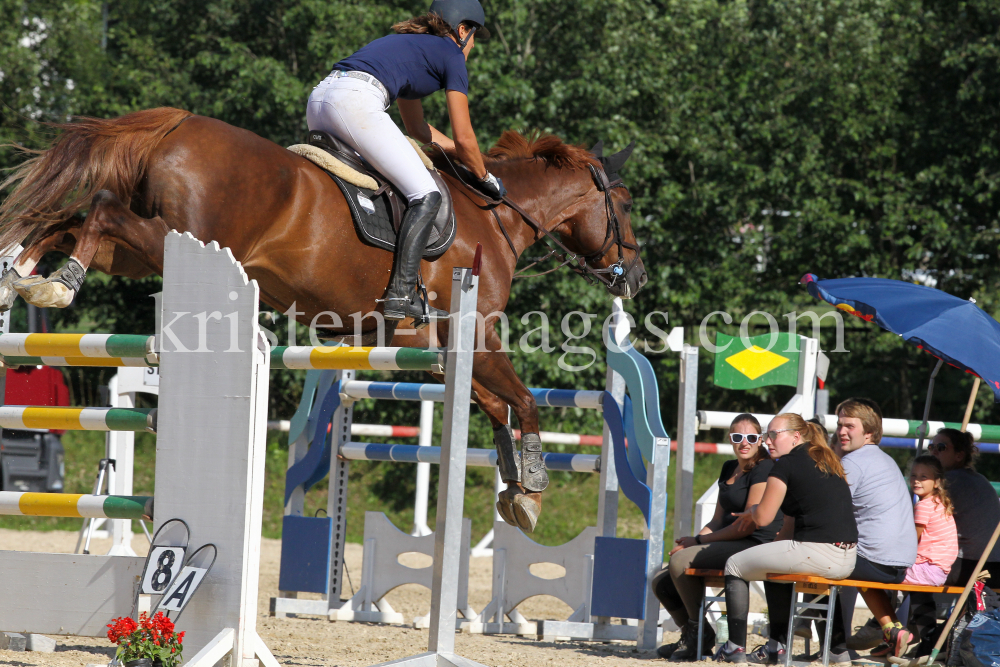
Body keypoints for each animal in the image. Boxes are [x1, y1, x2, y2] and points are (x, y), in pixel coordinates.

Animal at [0, 107, 648, 528]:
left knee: (66, 219)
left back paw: (19, 274)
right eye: (625, 204)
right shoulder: (477, 332)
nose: (636, 278)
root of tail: (176, 125)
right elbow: (524, 400)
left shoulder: (435, 347)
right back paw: (55, 284)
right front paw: (533, 486)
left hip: (146, 251)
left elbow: (493, 405)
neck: (495, 216)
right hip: (172, 240)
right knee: (99, 209)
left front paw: (516, 491)